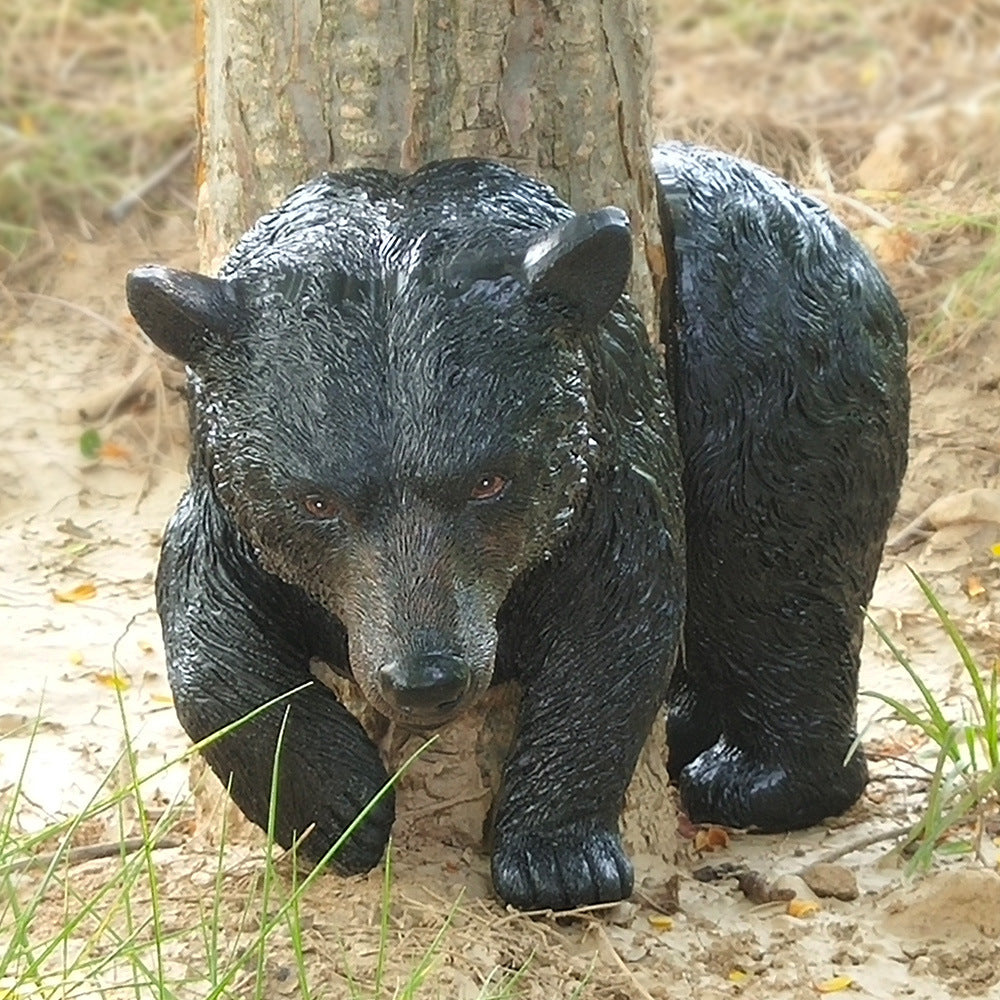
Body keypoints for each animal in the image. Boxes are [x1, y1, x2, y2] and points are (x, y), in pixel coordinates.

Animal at [125, 141, 908, 912]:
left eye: (489, 481)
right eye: (318, 502)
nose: (425, 680)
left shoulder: (604, 458)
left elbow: (613, 627)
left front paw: (557, 860)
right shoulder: (231, 506)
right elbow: (208, 636)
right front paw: (341, 808)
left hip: (777, 369)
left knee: (772, 577)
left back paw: (757, 779)